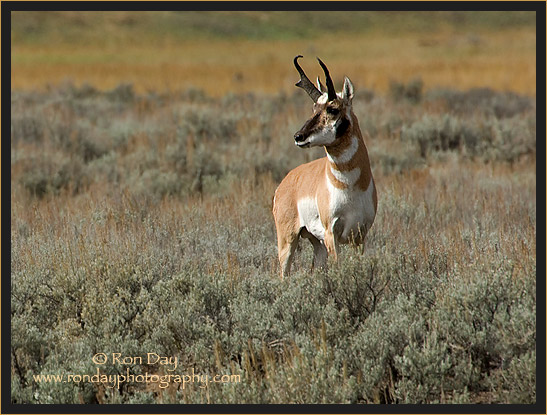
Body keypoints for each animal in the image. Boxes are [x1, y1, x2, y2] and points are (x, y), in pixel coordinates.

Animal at [272, 54, 376, 276]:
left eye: (333, 108)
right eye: (314, 108)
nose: (298, 136)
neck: (349, 185)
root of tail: (287, 180)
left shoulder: (360, 236)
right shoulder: (331, 234)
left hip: (316, 244)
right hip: (288, 240)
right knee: (284, 272)